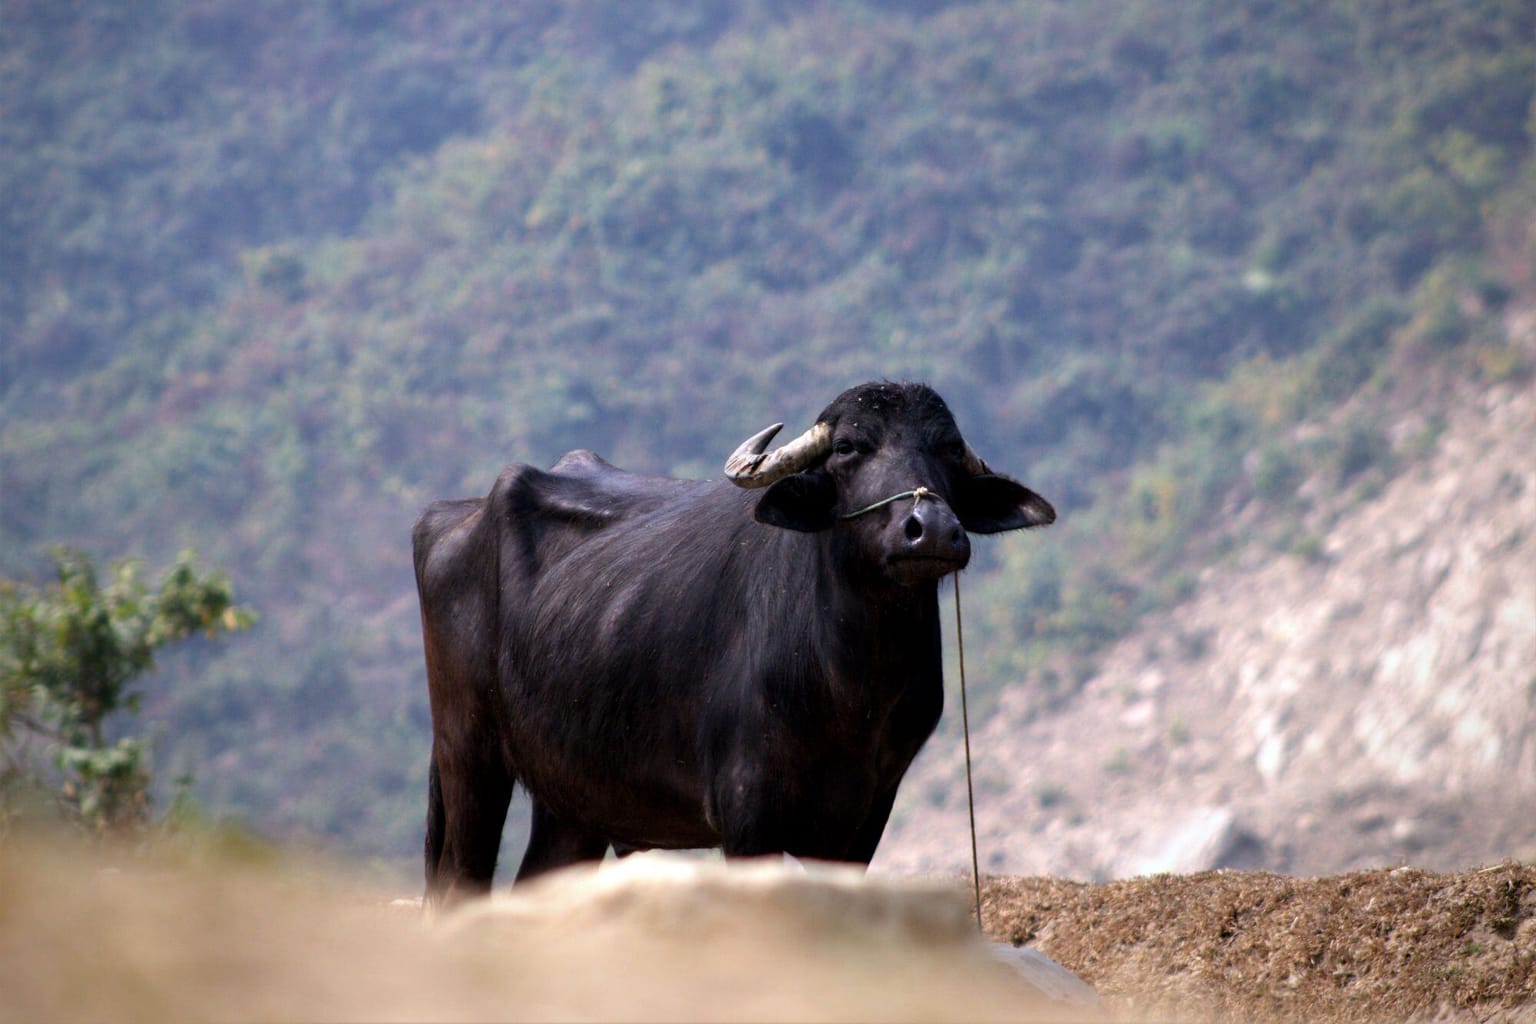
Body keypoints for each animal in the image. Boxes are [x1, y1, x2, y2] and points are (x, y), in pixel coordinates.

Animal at [413, 381, 1054, 904]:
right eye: (849, 448)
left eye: (946, 450)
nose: (933, 530)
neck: (848, 686)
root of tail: (451, 515)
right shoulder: (747, 814)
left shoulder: (866, 814)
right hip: (467, 750)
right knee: (459, 881)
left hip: (573, 796)